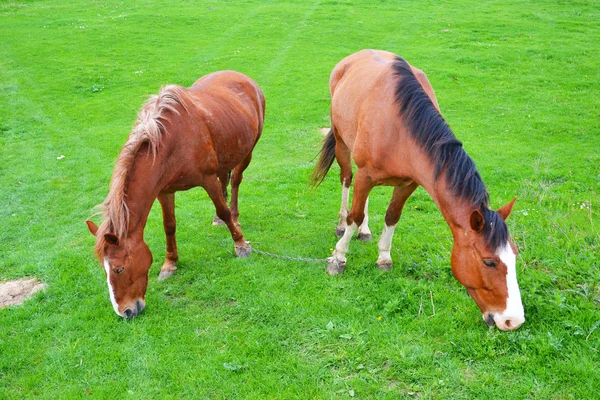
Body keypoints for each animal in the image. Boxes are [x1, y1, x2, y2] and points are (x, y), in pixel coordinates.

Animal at [85, 69, 264, 318]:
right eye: (104, 269)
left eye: (119, 269)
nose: (125, 312)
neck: (172, 142)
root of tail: (242, 77)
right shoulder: (164, 191)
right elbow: (169, 226)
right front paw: (170, 264)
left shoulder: (207, 180)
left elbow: (223, 209)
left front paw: (241, 245)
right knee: (225, 180)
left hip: (247, 152)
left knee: (235, 182)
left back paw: (235, 218)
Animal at [314, 49, 524, 332]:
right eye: (489, 262)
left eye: (514, 257)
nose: (513, 320)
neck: (399, 129)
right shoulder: (367, 175)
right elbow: (354, 215)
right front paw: (339, 257)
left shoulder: (408, 184)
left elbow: (392, 217)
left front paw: (384, 257)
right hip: (341, 142)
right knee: (348, 181)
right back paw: (342, 224)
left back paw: (365, 231)